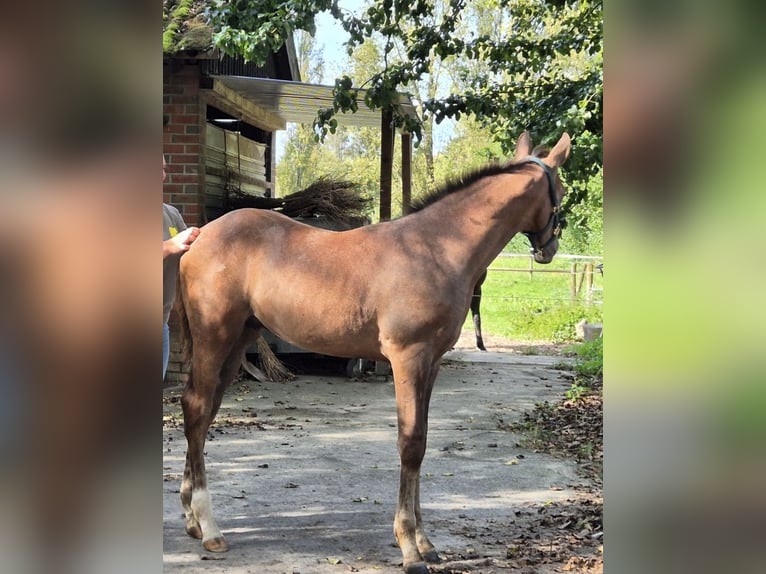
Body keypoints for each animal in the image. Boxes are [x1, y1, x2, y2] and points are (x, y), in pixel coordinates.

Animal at [177, 132, 572, 574]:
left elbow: (423, 440)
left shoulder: (432, 363)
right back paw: (210, 528)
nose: (550, 248)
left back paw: (192, 518)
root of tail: (200, 236)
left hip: (238, 341)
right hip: (214, 337)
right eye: (560, 192)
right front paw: (409, 549)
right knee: (196, 409)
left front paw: (426, 542)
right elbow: (410, 443)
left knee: (203, 413)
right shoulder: (408, 358)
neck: (436, 248)